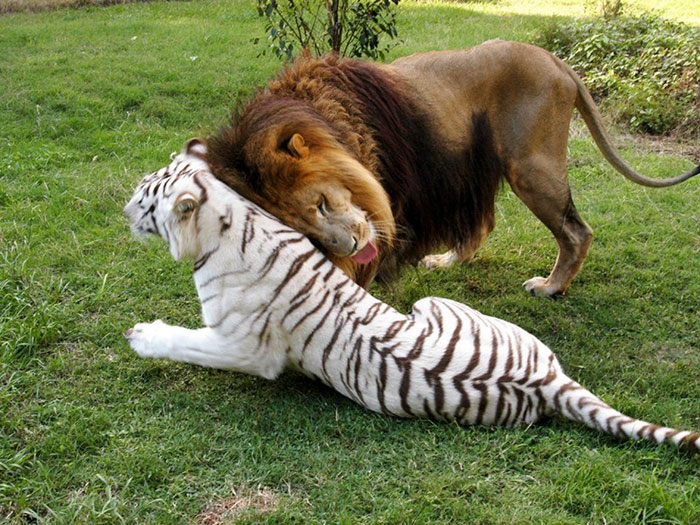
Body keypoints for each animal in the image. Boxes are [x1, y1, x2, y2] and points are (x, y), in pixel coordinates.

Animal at [123, 138, 700, 452]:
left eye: (146, 200)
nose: (123, 211)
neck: (229, 217)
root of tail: (547, 379)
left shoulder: (243, 346)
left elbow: (186, 342)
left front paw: (141, 335)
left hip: (430, 306)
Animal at [205, 39, 699, 296]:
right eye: (307, 235)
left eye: (323, 204)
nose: (348, 247)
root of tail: (555, 59)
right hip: (478, 163)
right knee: (482, 223)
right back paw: (446, 260)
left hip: (530, 165)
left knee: (577, 231)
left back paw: (550, 286)